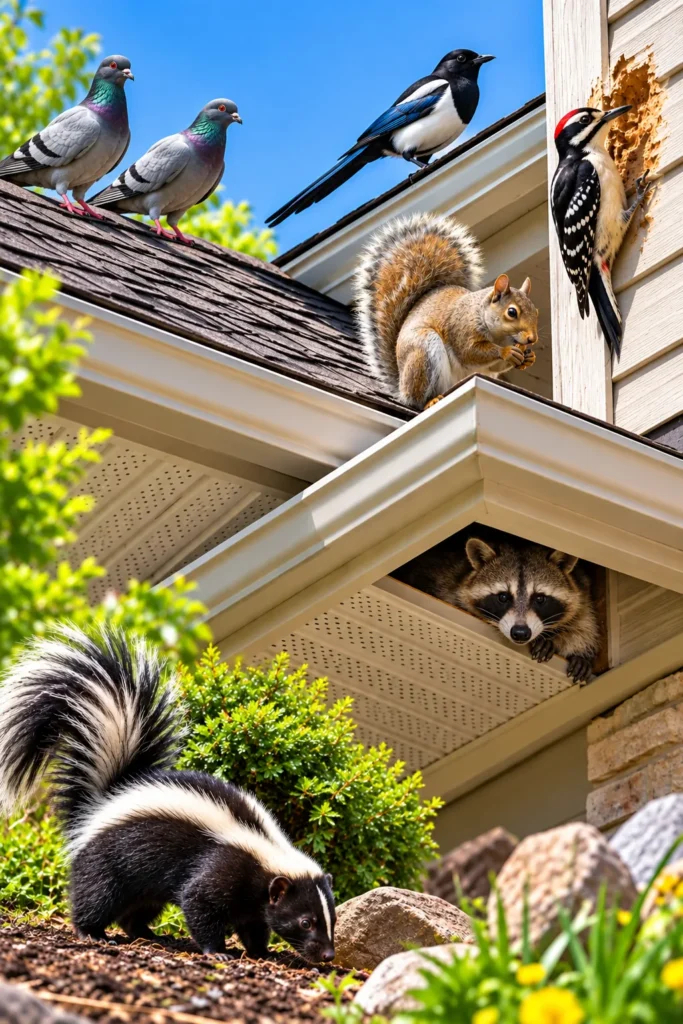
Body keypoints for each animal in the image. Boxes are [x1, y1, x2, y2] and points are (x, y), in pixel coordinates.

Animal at [0, 627, 336, 963]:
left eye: (331, 918)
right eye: (306, 922)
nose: (328, 954)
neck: (264, 851)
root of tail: (106, 798)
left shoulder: (252, 897)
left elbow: (254, 922)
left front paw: (260, 952)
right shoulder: (221, 867)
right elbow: (198, 902)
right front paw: (218, 951)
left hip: (143, 880)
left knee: (137, 909)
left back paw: (149, 934)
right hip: (111, 859)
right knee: (97, 895)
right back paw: (92, 932)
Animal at [355, 212, 540, 409]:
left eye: (536, 312)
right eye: (512, 312)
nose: (532, 339)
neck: (499, 336)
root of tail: (401, 387)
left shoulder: (491, 364)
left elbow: (493, 366)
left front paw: (528, 357)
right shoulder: (462, 328)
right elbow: (469, 352)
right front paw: (505, 352)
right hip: (423, 352)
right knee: (417, 399)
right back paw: (430, 401)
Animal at [393, 527, 600, 683]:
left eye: (540, 599)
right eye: (503, 597)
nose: (520, 633)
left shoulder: (582, 589)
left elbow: (584, 622)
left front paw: (570, 646)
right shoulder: (444, 578)